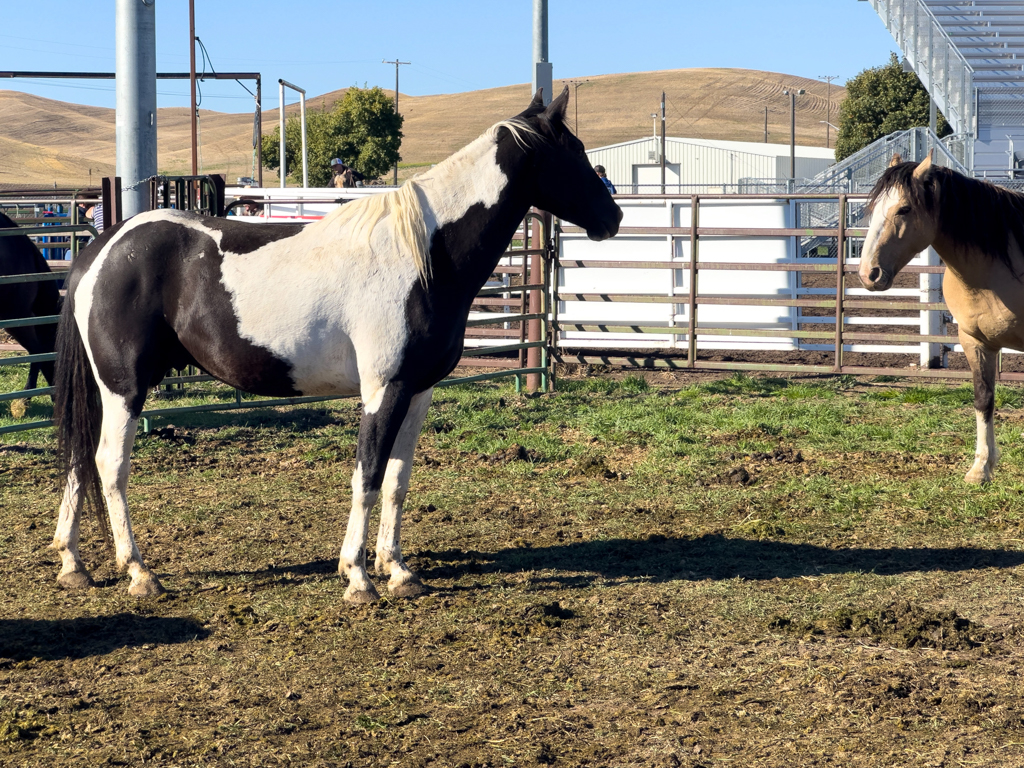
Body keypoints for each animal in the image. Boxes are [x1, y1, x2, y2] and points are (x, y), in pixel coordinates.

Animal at [54, 90, 622, 606]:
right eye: (572, 150)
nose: (613, 218)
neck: (424, 256)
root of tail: (99, 250)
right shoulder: (382, 390)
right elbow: (367, 476)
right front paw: (358, 577)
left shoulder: (417, 392)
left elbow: (397, 480)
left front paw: (399, 571)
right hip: (124, 388)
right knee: (109, 464)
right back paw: (138, 572)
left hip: (105, 391)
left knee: (81, 459)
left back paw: (73, 564)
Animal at [856, 150, 1024, 483]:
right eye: (872, 209)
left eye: (904, 208)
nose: (869, 274)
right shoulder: (975, 342)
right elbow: (983, 399)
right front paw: (980, 468)